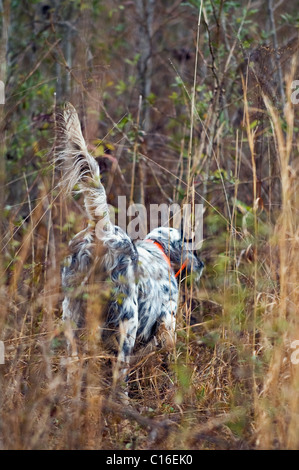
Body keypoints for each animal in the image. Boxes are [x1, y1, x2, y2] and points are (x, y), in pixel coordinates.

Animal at [57, 102, 204, 382]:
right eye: (191, 243)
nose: (201, 266)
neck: (159, 250)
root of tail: (103, 232)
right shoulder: (167, 321)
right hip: (128, 320)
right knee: (120, 370)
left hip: (71, 314)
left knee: (71, 361)